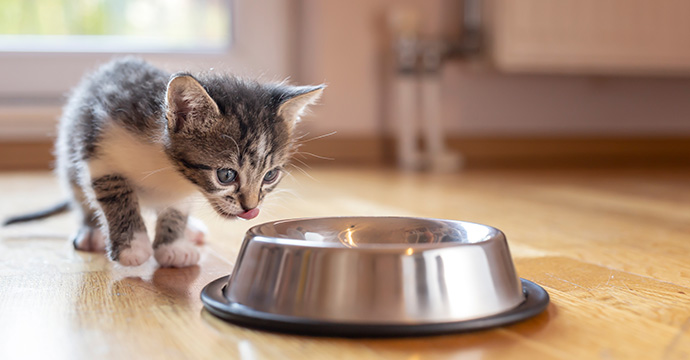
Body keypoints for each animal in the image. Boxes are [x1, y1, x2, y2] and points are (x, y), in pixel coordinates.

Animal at [1, 57, 324, 268]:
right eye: (226, 175)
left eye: (270, 176)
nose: (251, 209)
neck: (165, 163)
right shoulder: (98, 151)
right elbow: (116, 196)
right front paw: (133, 246)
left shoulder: (180, 190)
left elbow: (176, 209)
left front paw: (172, 245)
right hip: (68, 152)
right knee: (81, 196)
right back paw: (92, 231)